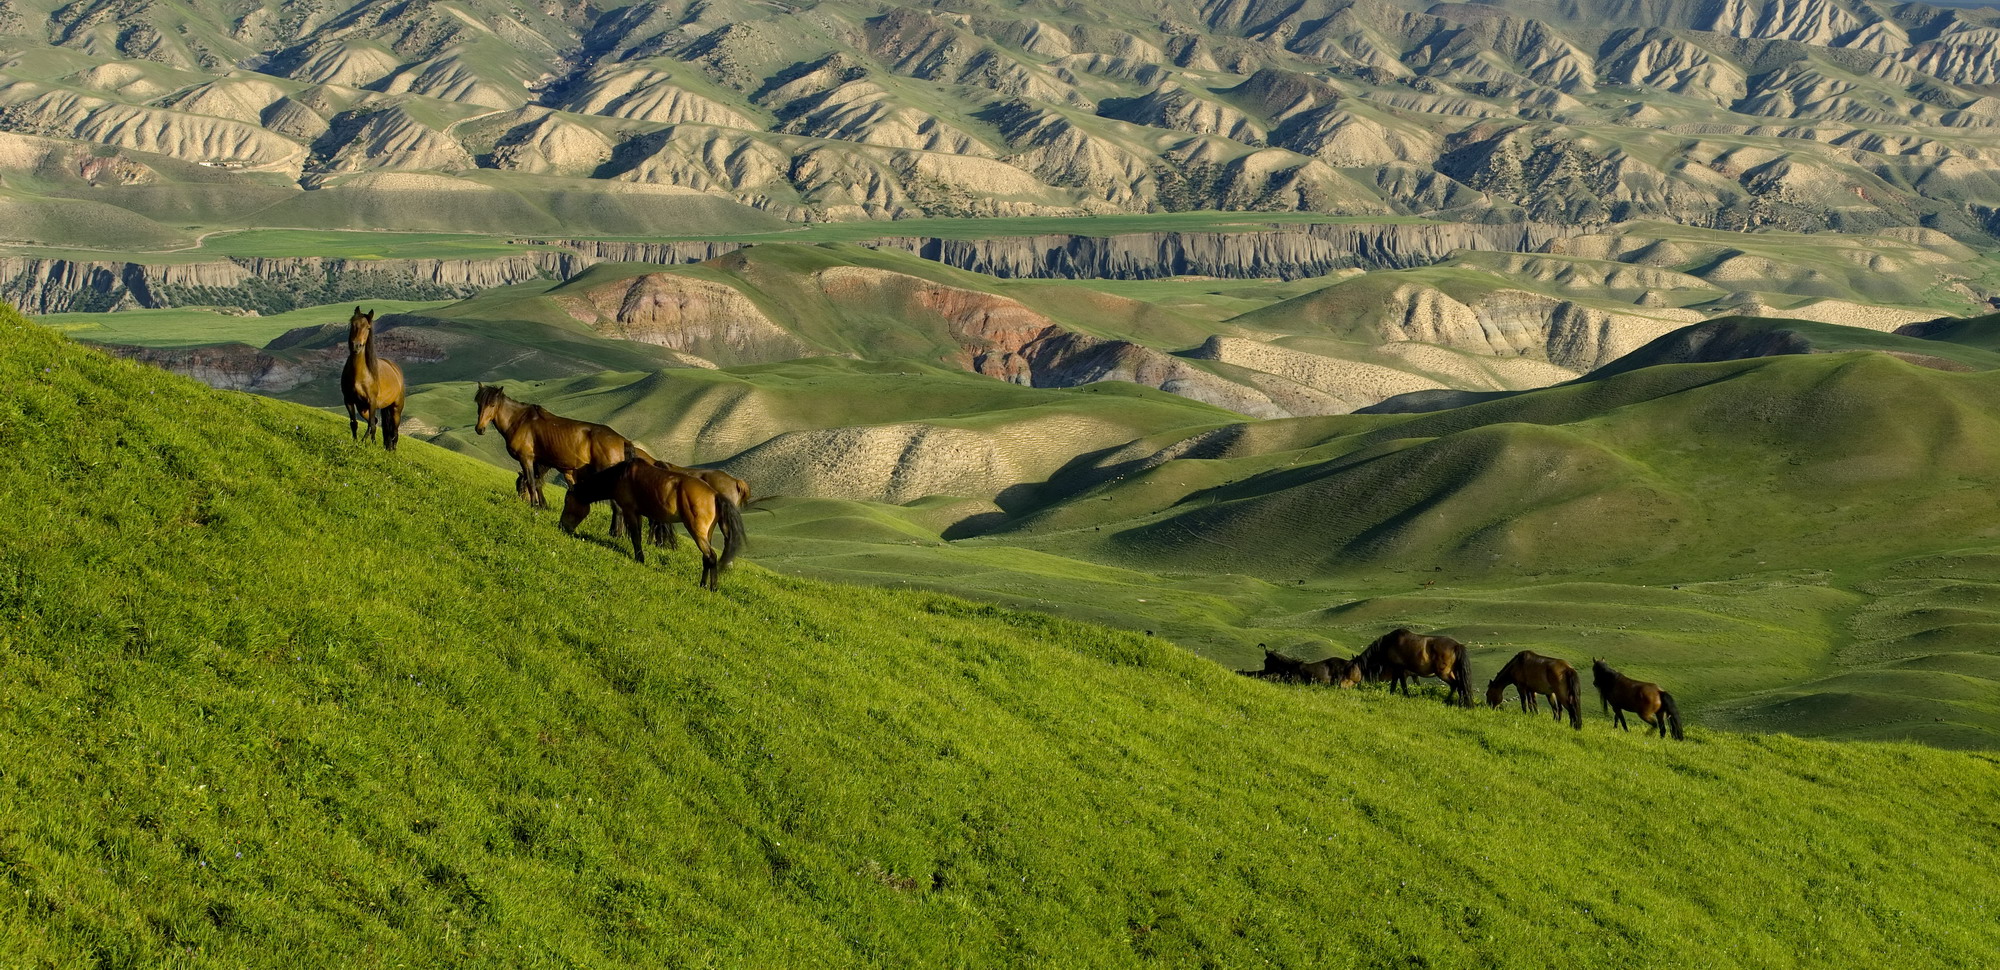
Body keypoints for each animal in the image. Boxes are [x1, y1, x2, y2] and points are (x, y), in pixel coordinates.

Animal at [340, 306, 402, 450]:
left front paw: (373, 446)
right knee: (376, 422)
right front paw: (355, 442)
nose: (356, 346)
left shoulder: (372, 402)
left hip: (396, 409)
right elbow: (354, 423)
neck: (360, 374)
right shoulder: (349, 400)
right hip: (363, 408)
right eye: (353, 324)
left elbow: (372, 426)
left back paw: (392, 450)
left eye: (368, 327)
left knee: (394, 432)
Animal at [472, 382, 652, 510]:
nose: (479, 429)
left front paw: (535, 506)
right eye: (479, 404)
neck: (520, 421)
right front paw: (541, 505)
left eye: (492, 405)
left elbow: (532, 482)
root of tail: (622, 440)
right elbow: (537, 483)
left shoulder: (527, 459)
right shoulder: (541, 463)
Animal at [560, 456, 748, 588]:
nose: (561, 526)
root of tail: (715, 495)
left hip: (697, 531)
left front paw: (640, 558)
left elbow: (636, 536)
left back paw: (712, 587)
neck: (621, 475)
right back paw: (703, 584)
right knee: (707, 558)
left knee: (711, 556)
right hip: (706, 533)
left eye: (567, 500)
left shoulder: (630, 511)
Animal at [1336, 628, 1480, 704]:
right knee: (1460, 685)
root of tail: (1457, 646)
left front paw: (1402, 694)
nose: (1340, 686)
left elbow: (1399, 683)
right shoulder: (1402, 671)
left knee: (1456, 685)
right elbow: (1398, 683)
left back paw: (1448, 701)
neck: (1389, 644)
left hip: (1444, 673)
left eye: (1348, 671)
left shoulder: (1399, 669)